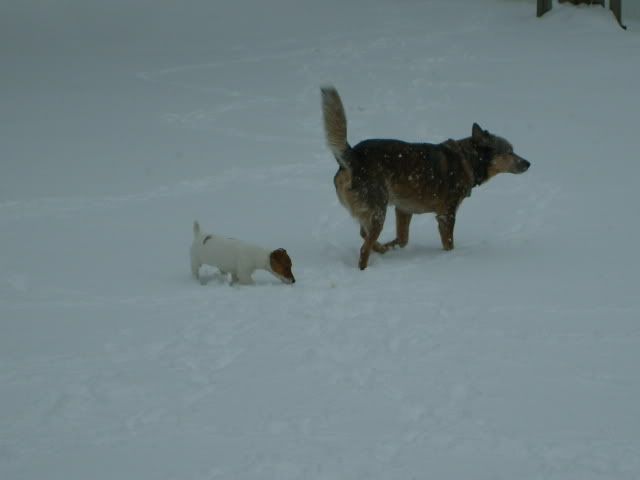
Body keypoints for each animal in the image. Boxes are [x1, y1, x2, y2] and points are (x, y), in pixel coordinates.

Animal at [320, 84, 528, 268]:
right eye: (509, 152)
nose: (528, 163)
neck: (467, 159)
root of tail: (351, 156)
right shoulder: (446, 214)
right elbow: (448, 243)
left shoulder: (404, 209)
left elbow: (402, 239)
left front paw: (389, 247)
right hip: (379, 211)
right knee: (364, 247)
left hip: (373, 212)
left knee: (364, 235)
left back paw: (380, 250)